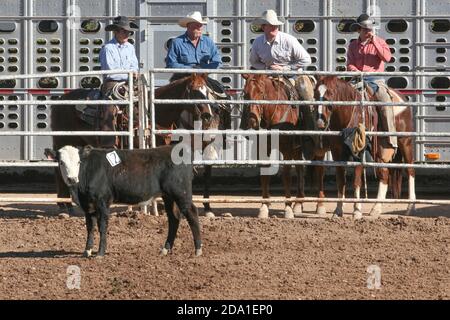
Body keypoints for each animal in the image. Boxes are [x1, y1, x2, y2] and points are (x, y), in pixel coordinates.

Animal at [243, 74, 306, 220]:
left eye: (261, 92)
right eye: (245, 93)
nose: (253, 121)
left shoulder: (287, 149)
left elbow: (286, 175)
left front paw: (288, 208)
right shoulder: (263, 149)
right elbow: (265, 175)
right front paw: (264, 207)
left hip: (297, 147)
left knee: (300, 168)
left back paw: (298, 203)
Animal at [312, 76, 414, 219]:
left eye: (330, 94)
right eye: (315, 94)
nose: (320, 121)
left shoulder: (359, 152)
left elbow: (356, 182)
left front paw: (357, 211)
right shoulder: (337, 152)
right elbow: (341, 181)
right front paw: (338, 210)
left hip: (405, 142)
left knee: (410, 170)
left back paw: (409, 207)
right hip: (379, 150)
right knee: (384, 174)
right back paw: (376, 209)